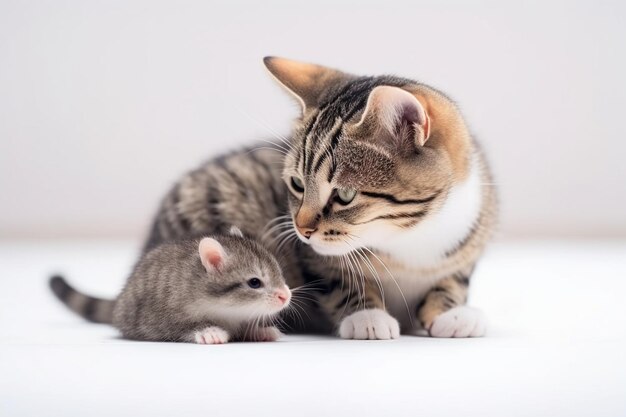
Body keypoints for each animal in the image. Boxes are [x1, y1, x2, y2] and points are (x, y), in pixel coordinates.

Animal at [50, 228, 290, 342]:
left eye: (279, 272)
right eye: (254, 282)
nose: (286, 296)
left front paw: (260, 331)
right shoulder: (164, 318)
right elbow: (182, 328)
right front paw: (210, 332)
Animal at [144, 57, 494, 338]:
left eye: (345, 194)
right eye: (297, 184)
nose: (302, 229)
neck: (410, 239)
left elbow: (455, 279)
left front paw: (452, 312)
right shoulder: (313, 257)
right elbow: (339, 281)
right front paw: (367, 315)